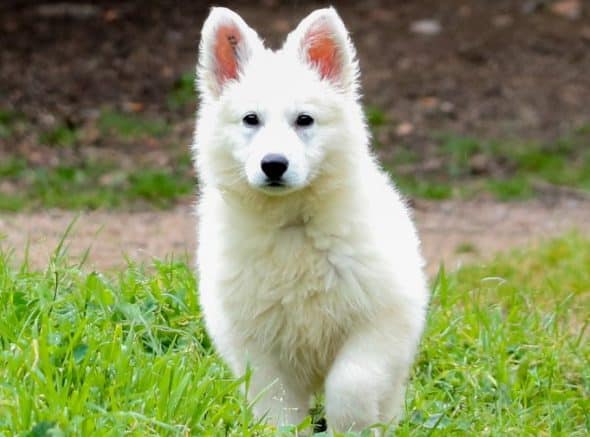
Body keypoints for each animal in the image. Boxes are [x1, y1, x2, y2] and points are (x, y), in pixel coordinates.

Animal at [194, 6, 430, 432]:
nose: (273, 164)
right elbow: (278, 408)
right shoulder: (257, 345)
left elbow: (350, 384)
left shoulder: (381, 321)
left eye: (305, 120)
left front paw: (350, 429)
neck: (292, 225)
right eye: (250, 119)